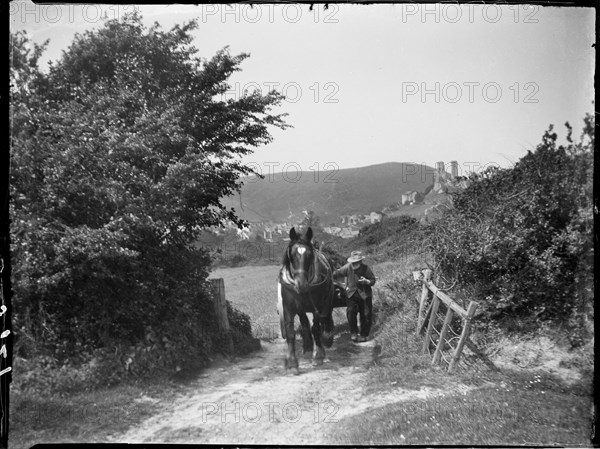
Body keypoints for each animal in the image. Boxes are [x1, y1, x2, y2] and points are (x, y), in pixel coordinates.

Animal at [278, 226, 336, 372]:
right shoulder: (288, 307)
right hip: (302, 307)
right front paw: (292, 362)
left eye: (310, 255)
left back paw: (326, 338)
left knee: (325, 317)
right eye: (292, 255)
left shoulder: (317, 306)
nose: (302, 285)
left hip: (327, 299)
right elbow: (290, 332)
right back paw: (308, 345)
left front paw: (318, 356)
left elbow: (316, 328)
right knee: (305, 322)